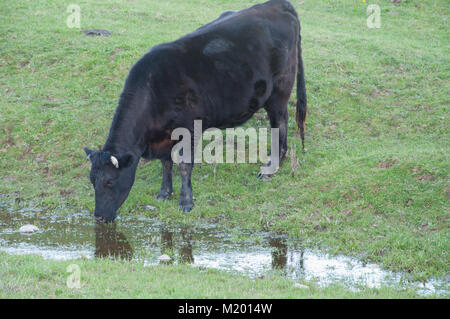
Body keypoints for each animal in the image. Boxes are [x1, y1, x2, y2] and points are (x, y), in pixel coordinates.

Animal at [83, 0, 306, 224]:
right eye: (92, 180)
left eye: (110, 181)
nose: (99, 217)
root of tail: (277, 5)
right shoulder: (164, 137)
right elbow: (166, 163)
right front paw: (164, 193)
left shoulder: (189, 129)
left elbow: (183, 165)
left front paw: (186, 201)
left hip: (279, 90)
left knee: (280, 123)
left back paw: (271, 166)